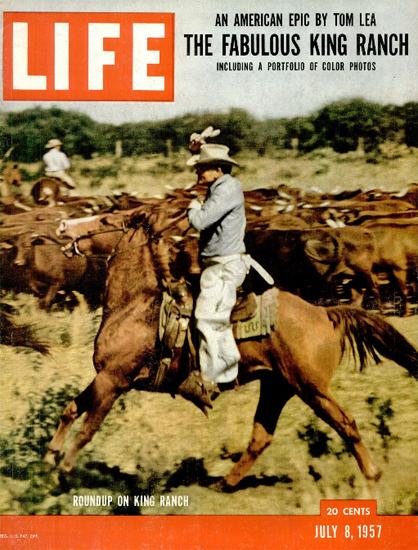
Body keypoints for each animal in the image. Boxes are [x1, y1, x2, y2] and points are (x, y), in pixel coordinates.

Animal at [44, 206, 416, 492]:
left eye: (106, 219)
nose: (61, 226)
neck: (135, 307)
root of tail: (325, 313)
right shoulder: (103, 378)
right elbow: (70, 410)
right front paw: (50, 456)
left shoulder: (113, 381)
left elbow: (87, 429)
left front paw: (64, 472)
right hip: (277, 387)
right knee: (261, 437)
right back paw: (224, 483)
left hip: (312, 389)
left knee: (346, 423)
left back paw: (372, 475)